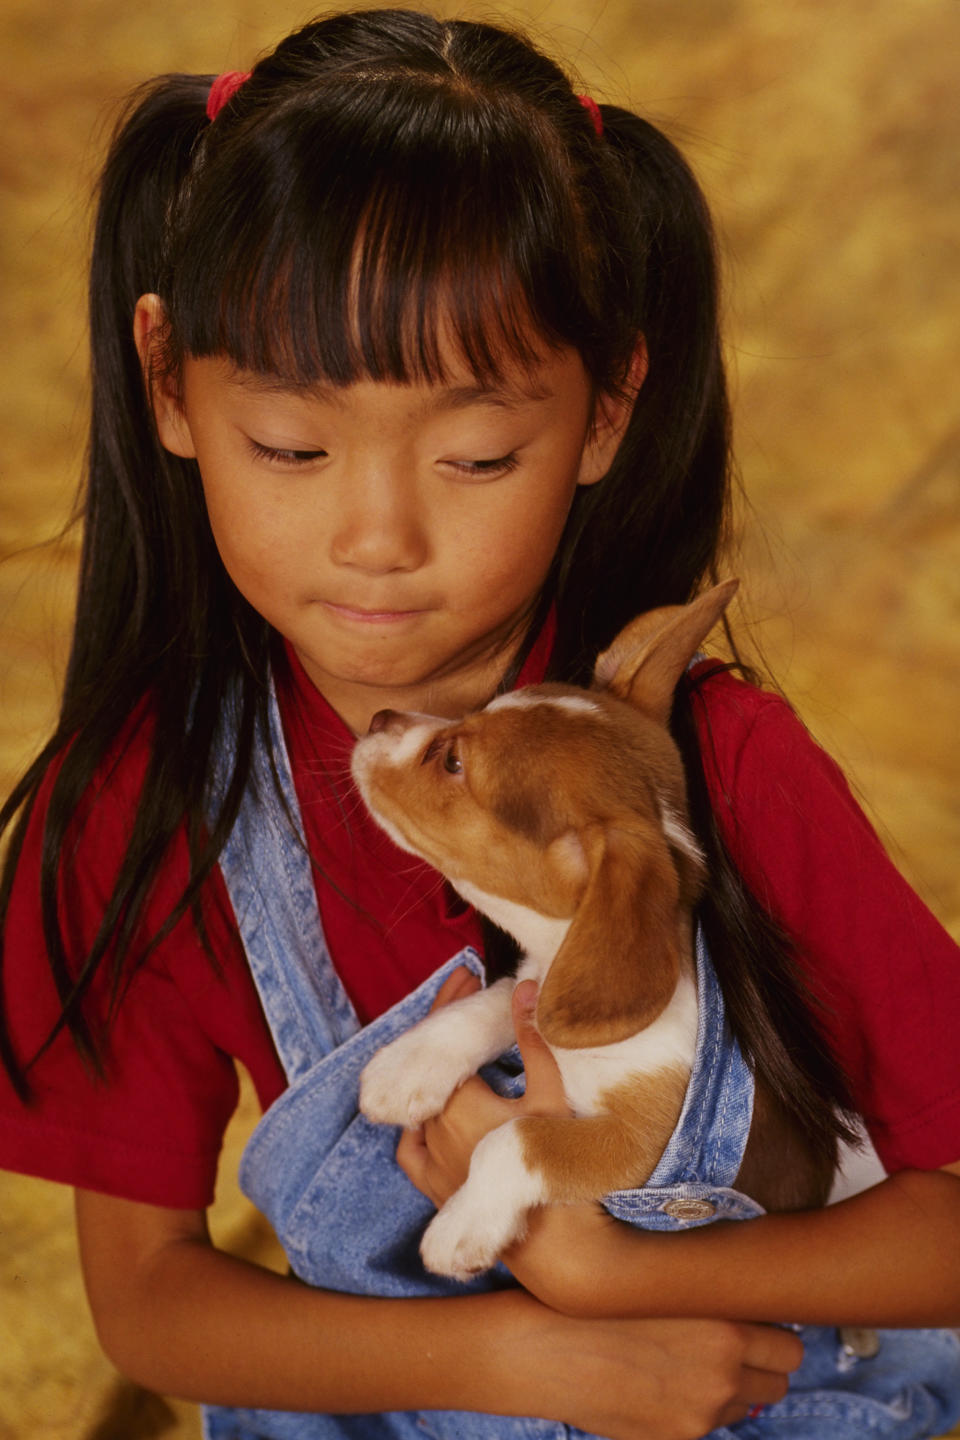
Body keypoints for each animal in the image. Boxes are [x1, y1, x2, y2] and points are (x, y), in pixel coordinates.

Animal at [352, 584, 829, 1284]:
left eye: (453, 762)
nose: (380, 716)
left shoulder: (644, 1153)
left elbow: (518, 1138)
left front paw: (460, 1227)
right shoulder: (540, 985)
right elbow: (497, 1002)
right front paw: (407, 1065)